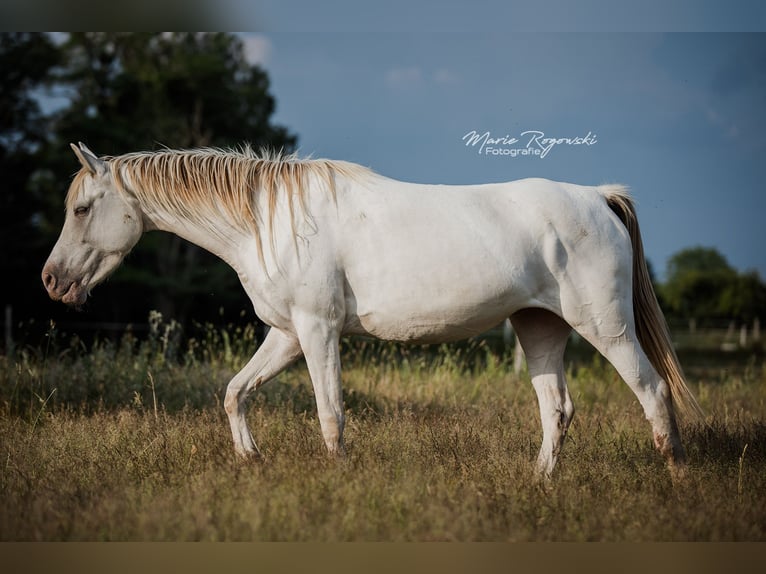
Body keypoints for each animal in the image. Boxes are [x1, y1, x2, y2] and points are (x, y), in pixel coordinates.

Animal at [42, 142, 703, 479]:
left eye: (81, 209)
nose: (52, 281)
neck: (268, 221)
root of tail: (597, 197)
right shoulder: (286, 334)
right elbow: (235, 392)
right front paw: (251, 459)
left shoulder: (318, 330)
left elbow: (331, 415)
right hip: (540, 328)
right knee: (557, 409)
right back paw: (539, 484)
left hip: (606, 328)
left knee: (652, 392)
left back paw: (674, 478)